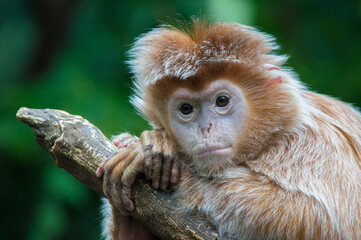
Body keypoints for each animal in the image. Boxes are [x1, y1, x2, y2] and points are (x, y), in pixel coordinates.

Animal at [95, 19, 360, 240]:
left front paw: (151, 153)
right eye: (186, 108)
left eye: (222, 101)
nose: (205, 128)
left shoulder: (315, 145)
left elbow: (320, 218)